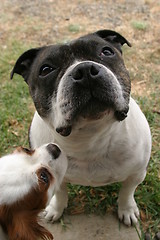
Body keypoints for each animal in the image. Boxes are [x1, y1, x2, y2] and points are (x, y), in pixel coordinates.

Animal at [11, 29, 151, 226]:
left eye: (106, 52)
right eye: (46, 70)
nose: (84, 70)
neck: (89, 139)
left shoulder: (137, 173)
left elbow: (127, 192)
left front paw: (127, 210)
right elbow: (60, 194)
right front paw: (55, 209)